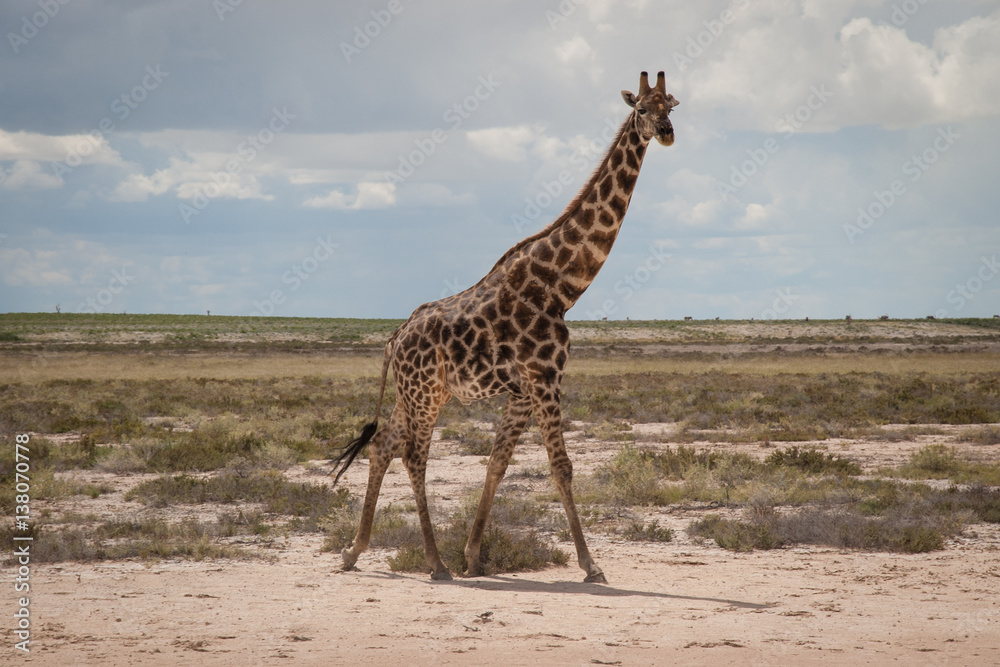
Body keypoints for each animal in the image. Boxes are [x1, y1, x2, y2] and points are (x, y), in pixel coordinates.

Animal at [333, 71, 678, 583]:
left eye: (670, 105)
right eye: (641, 108)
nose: (668, 132)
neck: (560, 288)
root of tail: (393, 340)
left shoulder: (523, 389)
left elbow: (498, 463)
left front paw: (474, 556)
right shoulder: (545, 378)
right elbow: (562, 466)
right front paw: (591, 565)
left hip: (417, 393)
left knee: (382, 445)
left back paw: (354, 551)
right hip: (424, 394)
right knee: (413, 455)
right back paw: (434, 563)